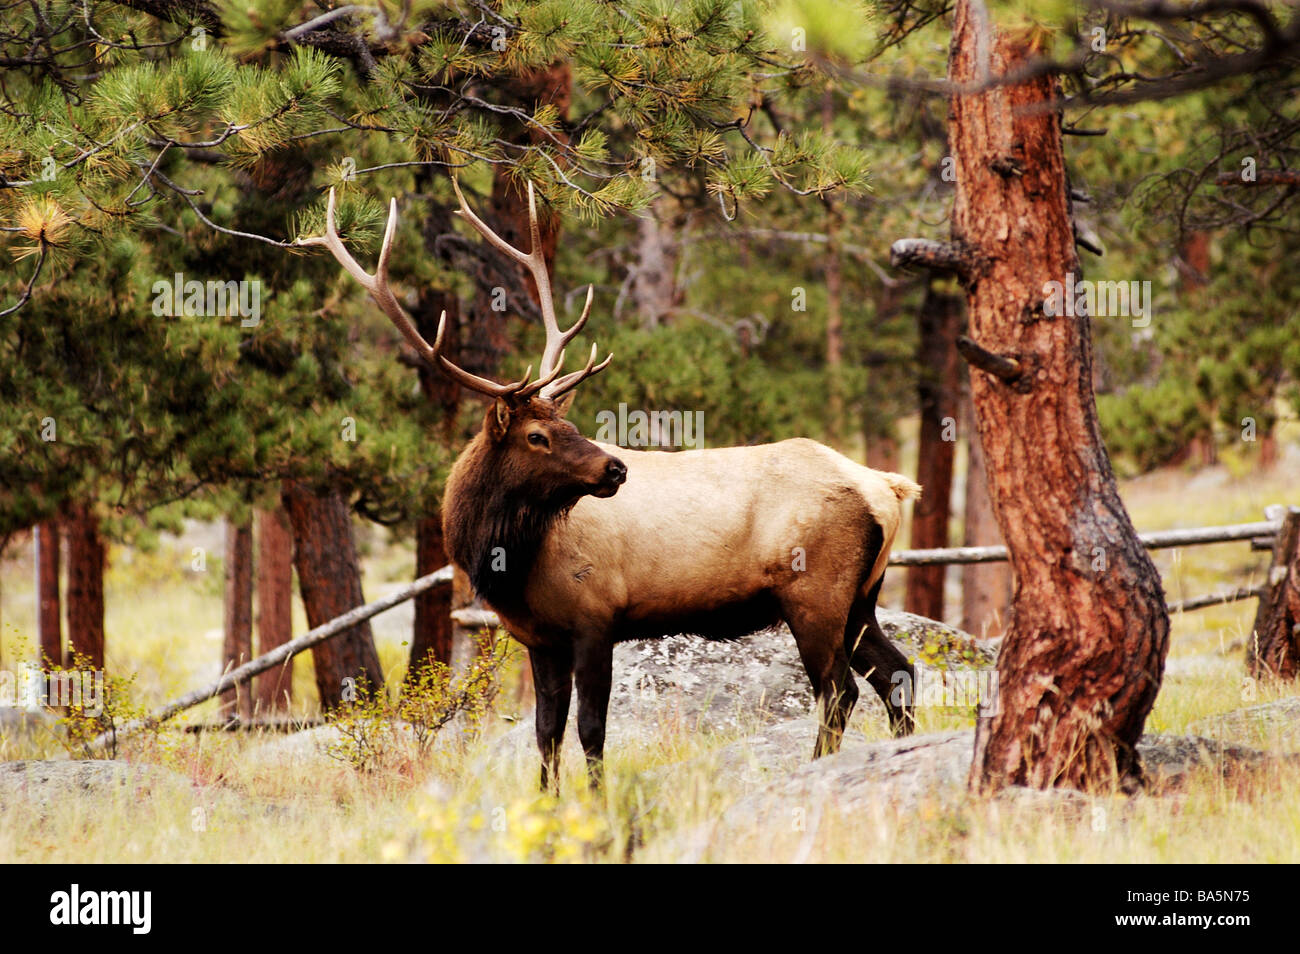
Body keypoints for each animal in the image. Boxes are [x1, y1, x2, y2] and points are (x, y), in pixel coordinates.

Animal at [300, 181, 922, 791]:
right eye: (537, 435)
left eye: (567, 425)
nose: (616, 469)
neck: (507, 561)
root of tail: (888, 487)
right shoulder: (540, 637)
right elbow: (545, 730)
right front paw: (546, 802)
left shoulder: (595, 618)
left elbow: (590, 729)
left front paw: (595, 803)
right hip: (862, 595)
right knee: (899, 672)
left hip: (815, 591)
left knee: (839, 691)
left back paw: (817, 768)